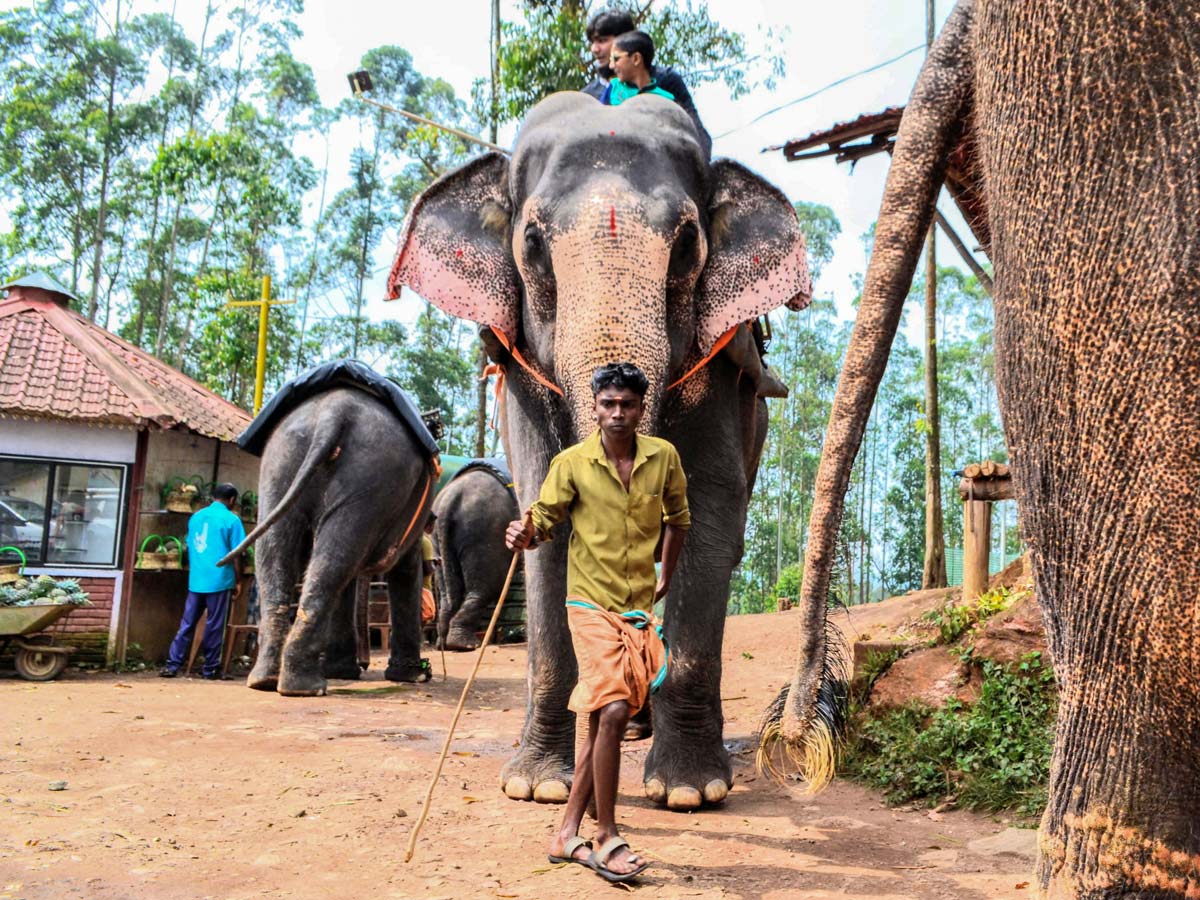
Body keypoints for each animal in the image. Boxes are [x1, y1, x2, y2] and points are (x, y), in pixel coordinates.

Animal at [436, 460, 520, 652]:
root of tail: (449, 498)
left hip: (436, 537)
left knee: (448, 589)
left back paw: (443, 643)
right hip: (483, 530)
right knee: (488, 586)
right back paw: (467, 645)